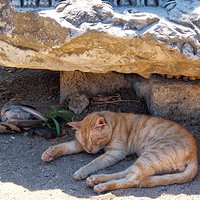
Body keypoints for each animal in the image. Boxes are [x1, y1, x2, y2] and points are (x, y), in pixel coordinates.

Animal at [41, 111, 198, 193]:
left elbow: (95, 162)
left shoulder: (115, 153)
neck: (115, 123)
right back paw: (96, 179)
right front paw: (50, 152)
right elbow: (66, 146)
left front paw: (82, 170)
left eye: (95, 139)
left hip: (150, 156)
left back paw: (101, 185)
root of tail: (195, 154)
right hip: (146, 159)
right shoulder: (81, 145)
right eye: (85, 142)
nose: (90, 150)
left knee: (134, 180)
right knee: (127, 173)